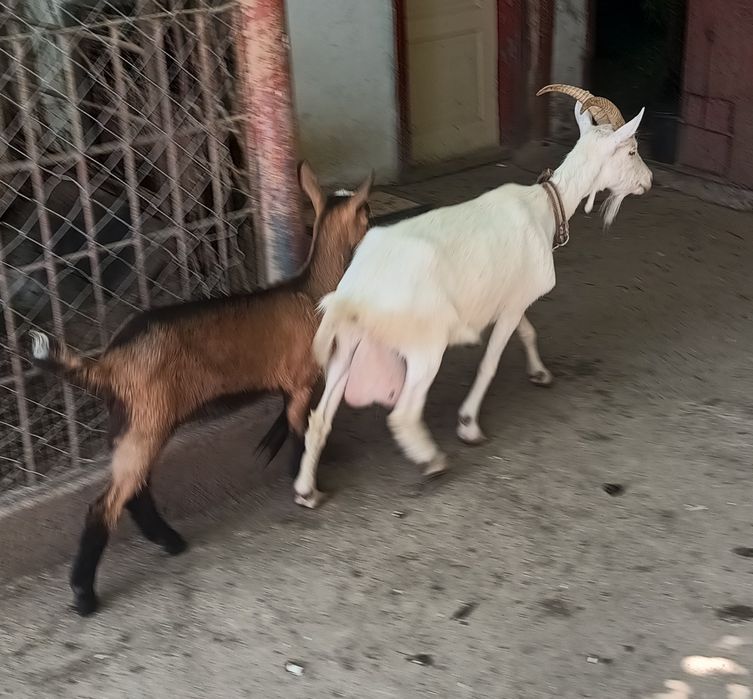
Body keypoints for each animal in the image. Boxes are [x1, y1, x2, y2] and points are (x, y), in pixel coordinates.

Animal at [29, 161, 373, 616]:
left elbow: (285, 418)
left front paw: (270, 448)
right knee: (106, 504)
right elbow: (301, 427)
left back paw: (170, 542)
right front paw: (304, 483)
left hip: (129, 421)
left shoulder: (288, 383)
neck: (311, 291)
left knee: (134, 489)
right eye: (367, 213)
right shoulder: (302, 379)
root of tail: (107, 363)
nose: (380, 228)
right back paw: (85, 594)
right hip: (149, 418)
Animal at [291, 85, 653, 508]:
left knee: (320, 418)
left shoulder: (512, 297)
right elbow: (490, 363)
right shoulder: (512, 304)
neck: (547, 206)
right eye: (631, 151)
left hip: (345, 347)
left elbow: (528, 331)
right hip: (425, 345)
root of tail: (355, 294)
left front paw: (540, 373)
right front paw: (468, 425)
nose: (649, 180)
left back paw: (307, 490)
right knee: (403, 413)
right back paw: (432, 461)